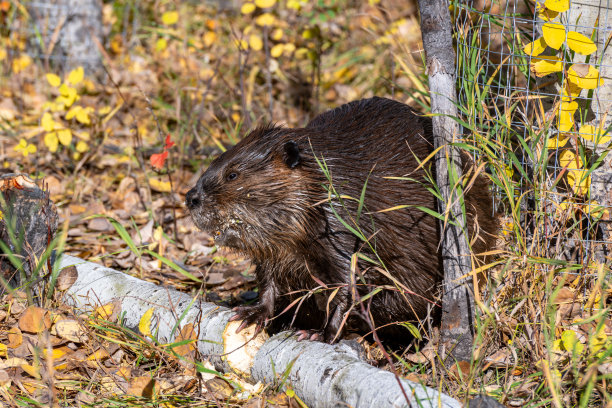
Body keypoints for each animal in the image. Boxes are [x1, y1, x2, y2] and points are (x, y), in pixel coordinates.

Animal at [186, 97, 498, 342]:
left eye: (232, 174)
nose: (191, 198)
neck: (322, 178)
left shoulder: (341, 224)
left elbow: (349, 279)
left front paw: (320, 333)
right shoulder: (277, 248)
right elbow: (268, 279)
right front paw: (250, 314)